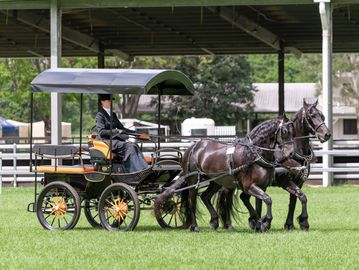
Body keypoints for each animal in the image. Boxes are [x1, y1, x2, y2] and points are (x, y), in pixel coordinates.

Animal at [156, 114, 294, 232]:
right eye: (285, 132)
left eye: (293, 131)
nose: (291, 153)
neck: (253, 155)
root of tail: (193, 147)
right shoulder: (249, 186)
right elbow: (267, 200)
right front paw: (265, 222)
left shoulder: (261, 186)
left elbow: (259, 205)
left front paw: (259, 224)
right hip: (194, 180)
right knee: (192, 201)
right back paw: (195, 227)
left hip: (216, 181)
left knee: (205, 196)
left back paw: (214, 221)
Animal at [217, 100, 332, 231]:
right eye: (312, 116)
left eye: (322, 116)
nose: (327, 134)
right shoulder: (285, 180)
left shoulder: (299, 182)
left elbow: (298, 199)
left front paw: (294, 223)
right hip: (231, 184)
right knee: (227, 199)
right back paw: (230, 224)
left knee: (243, 198)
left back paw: (252, 220)